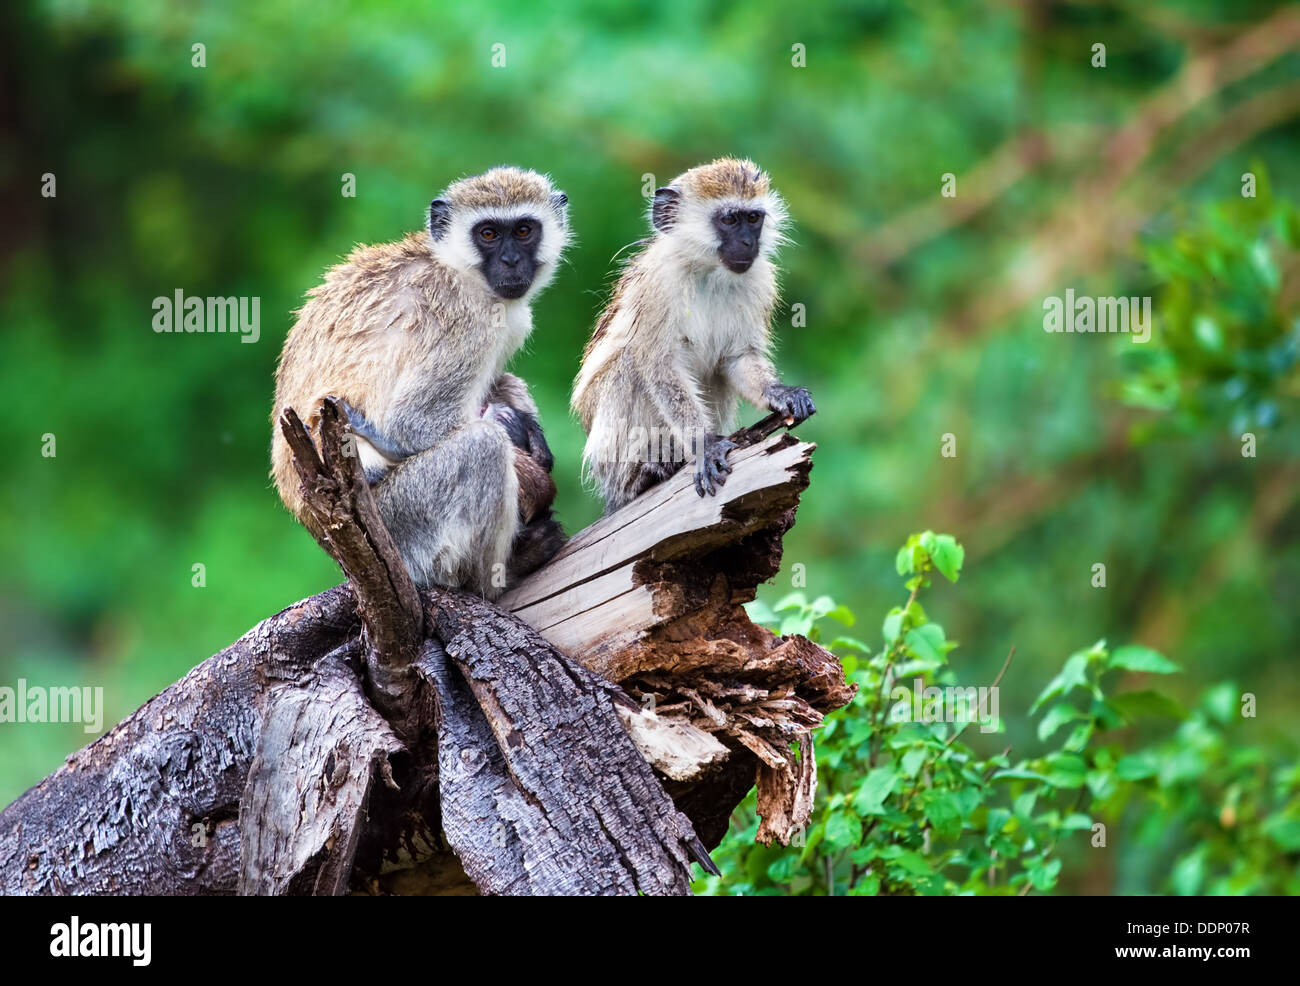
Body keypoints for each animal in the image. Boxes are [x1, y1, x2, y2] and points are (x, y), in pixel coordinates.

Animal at [271, 166, 570, 597]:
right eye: (489, 234)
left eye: (524, 230)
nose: (512, 261)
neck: (456, 267)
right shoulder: (468, 321)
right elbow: (413, 423)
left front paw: (531, 436)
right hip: (401, 525)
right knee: (481, 447)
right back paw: (498, 577)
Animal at [571, 157, 815, 514]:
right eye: (729, 219)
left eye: (753, 219)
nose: (748, 243)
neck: (708, 271)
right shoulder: (658, 283)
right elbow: (659, 366)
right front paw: (704, 445)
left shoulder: (760, 280)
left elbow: (737, 359)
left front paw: (779, 392)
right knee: (629, 365)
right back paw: (644, 473)